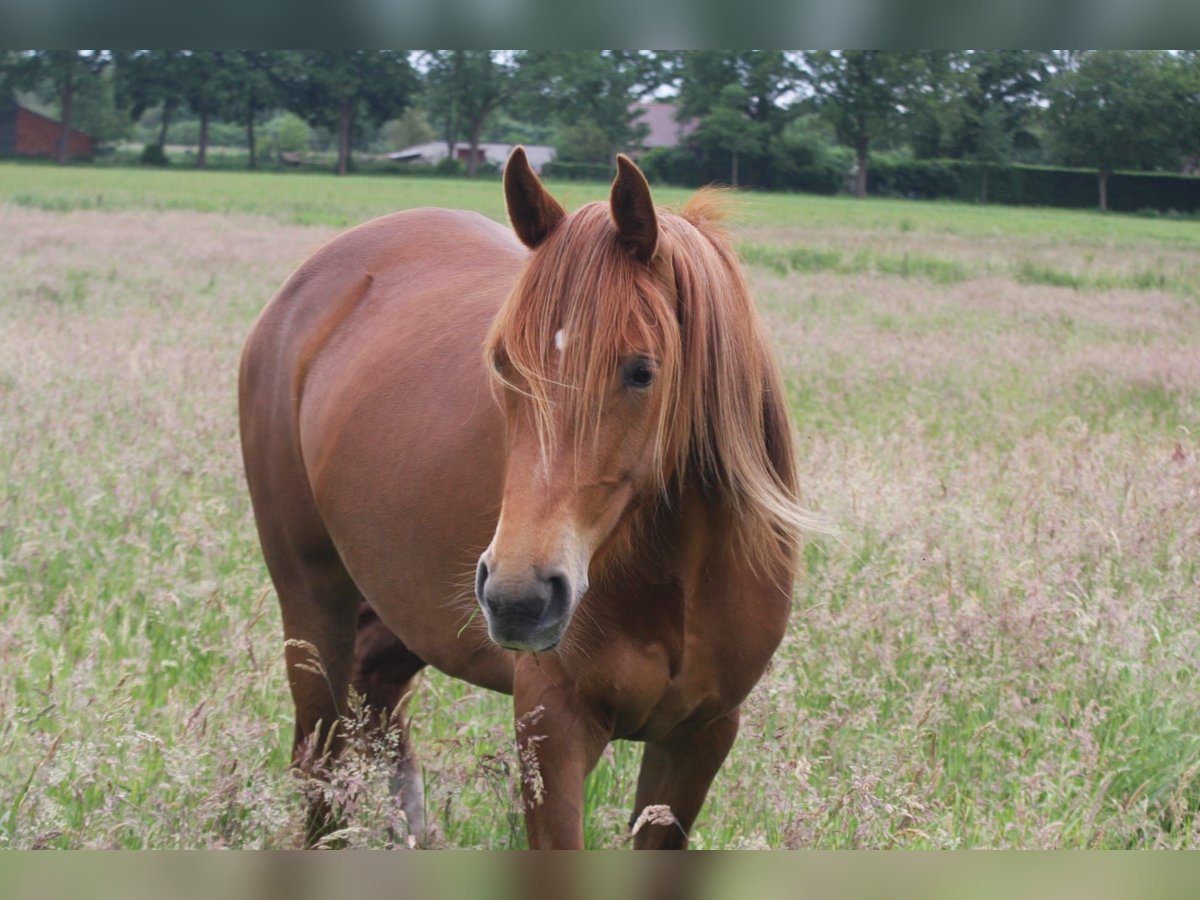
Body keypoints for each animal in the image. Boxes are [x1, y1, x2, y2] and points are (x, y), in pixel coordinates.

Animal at [238, 146, 811, 844]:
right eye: (503, 363)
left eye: (641, 371)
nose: (520, 597)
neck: (675, 578)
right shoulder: (552, 726)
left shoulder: (702, 736)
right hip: (313, 606)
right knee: (320, 763)